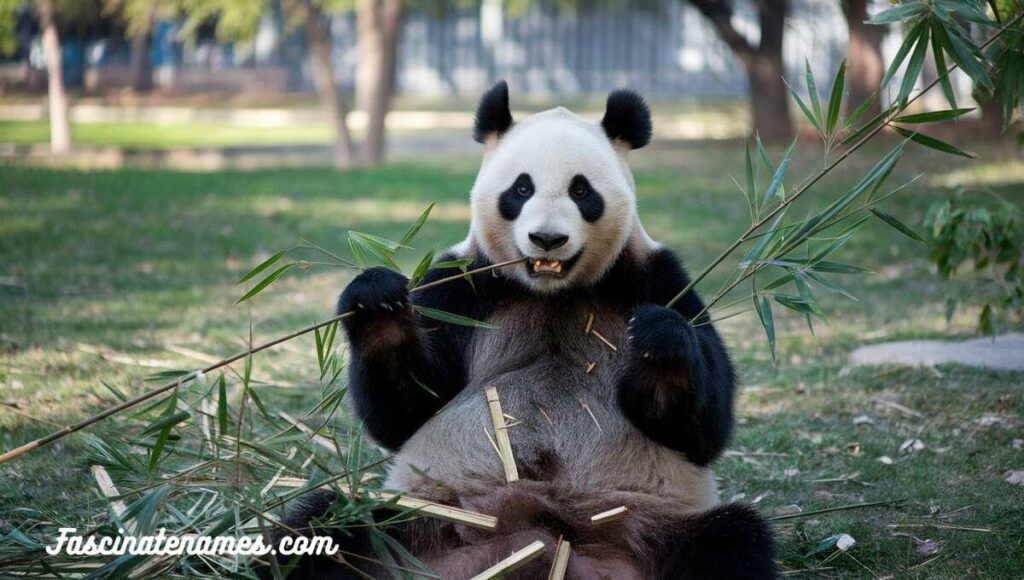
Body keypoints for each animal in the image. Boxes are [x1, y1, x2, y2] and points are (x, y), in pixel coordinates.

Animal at [272, 83, 774, 580]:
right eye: (521, 187)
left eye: (581, 190)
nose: (547, 239)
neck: (549, 292)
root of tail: (537, 545)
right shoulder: (461, 288)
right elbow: (406, 408)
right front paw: (377, 299)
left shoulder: (656, 279)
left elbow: (701, 427)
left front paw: (660, 339)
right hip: (427, 515)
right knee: (328, 527)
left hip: (647, 521)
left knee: (729, 541)